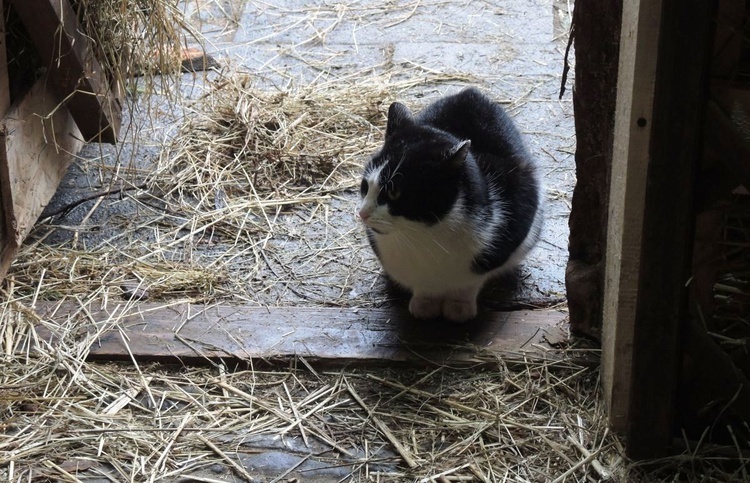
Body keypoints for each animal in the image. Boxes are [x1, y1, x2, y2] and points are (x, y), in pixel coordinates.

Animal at [356, 87, 540, 324]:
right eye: (365, 185)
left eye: (394, 192)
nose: (362, 214)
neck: (421, 236)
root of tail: (470, 92)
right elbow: (421, 284)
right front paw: (425, 303)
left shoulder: (516, 212)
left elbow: (471, 280)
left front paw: (459, 306)